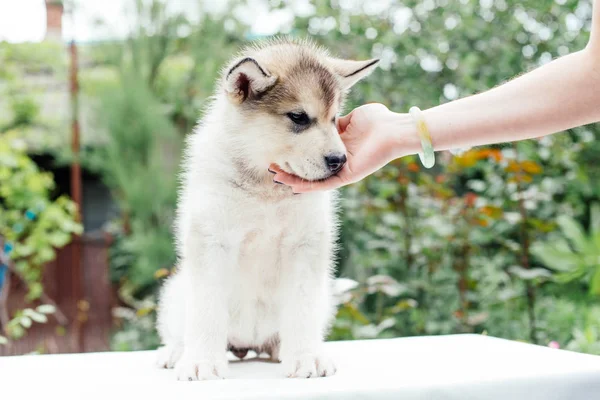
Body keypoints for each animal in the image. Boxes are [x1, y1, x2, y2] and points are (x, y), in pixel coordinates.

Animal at [155, 38, 380, 382]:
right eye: (298, 117)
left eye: (334, 118)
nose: (339, 160)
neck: (266, 188)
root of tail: (247, 344)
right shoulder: (212, 240)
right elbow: (207, 309)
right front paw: (202, 361)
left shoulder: (304, 245)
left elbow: (301, 309)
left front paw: (305, 357)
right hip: (176, 292)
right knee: (181, 331)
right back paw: (176, 352)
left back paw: (281, 350)